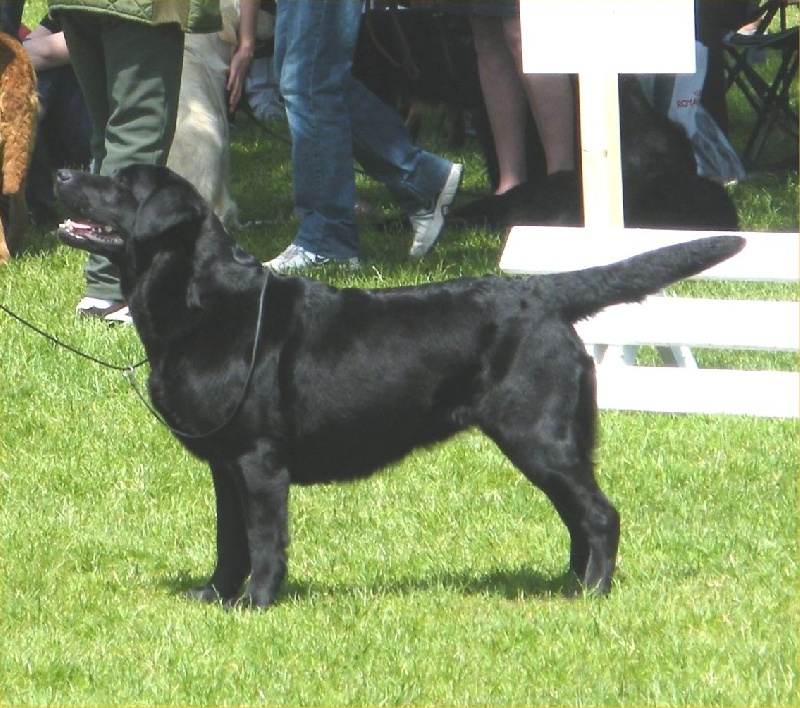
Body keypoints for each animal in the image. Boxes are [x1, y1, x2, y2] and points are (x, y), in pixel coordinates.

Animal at [56, 166, 744, 608]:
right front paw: (216, 596)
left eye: (120, 184)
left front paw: (257, 603)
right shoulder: (225, 463)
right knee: (579, 517)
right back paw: (568, 587)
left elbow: (264, 541)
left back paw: (592, 595)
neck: (202, 304)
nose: (62, 173)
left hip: (538, 435)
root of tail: (541, 292)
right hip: (554, 442)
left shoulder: (258, 460)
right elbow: (230, 541)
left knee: (600, 515)